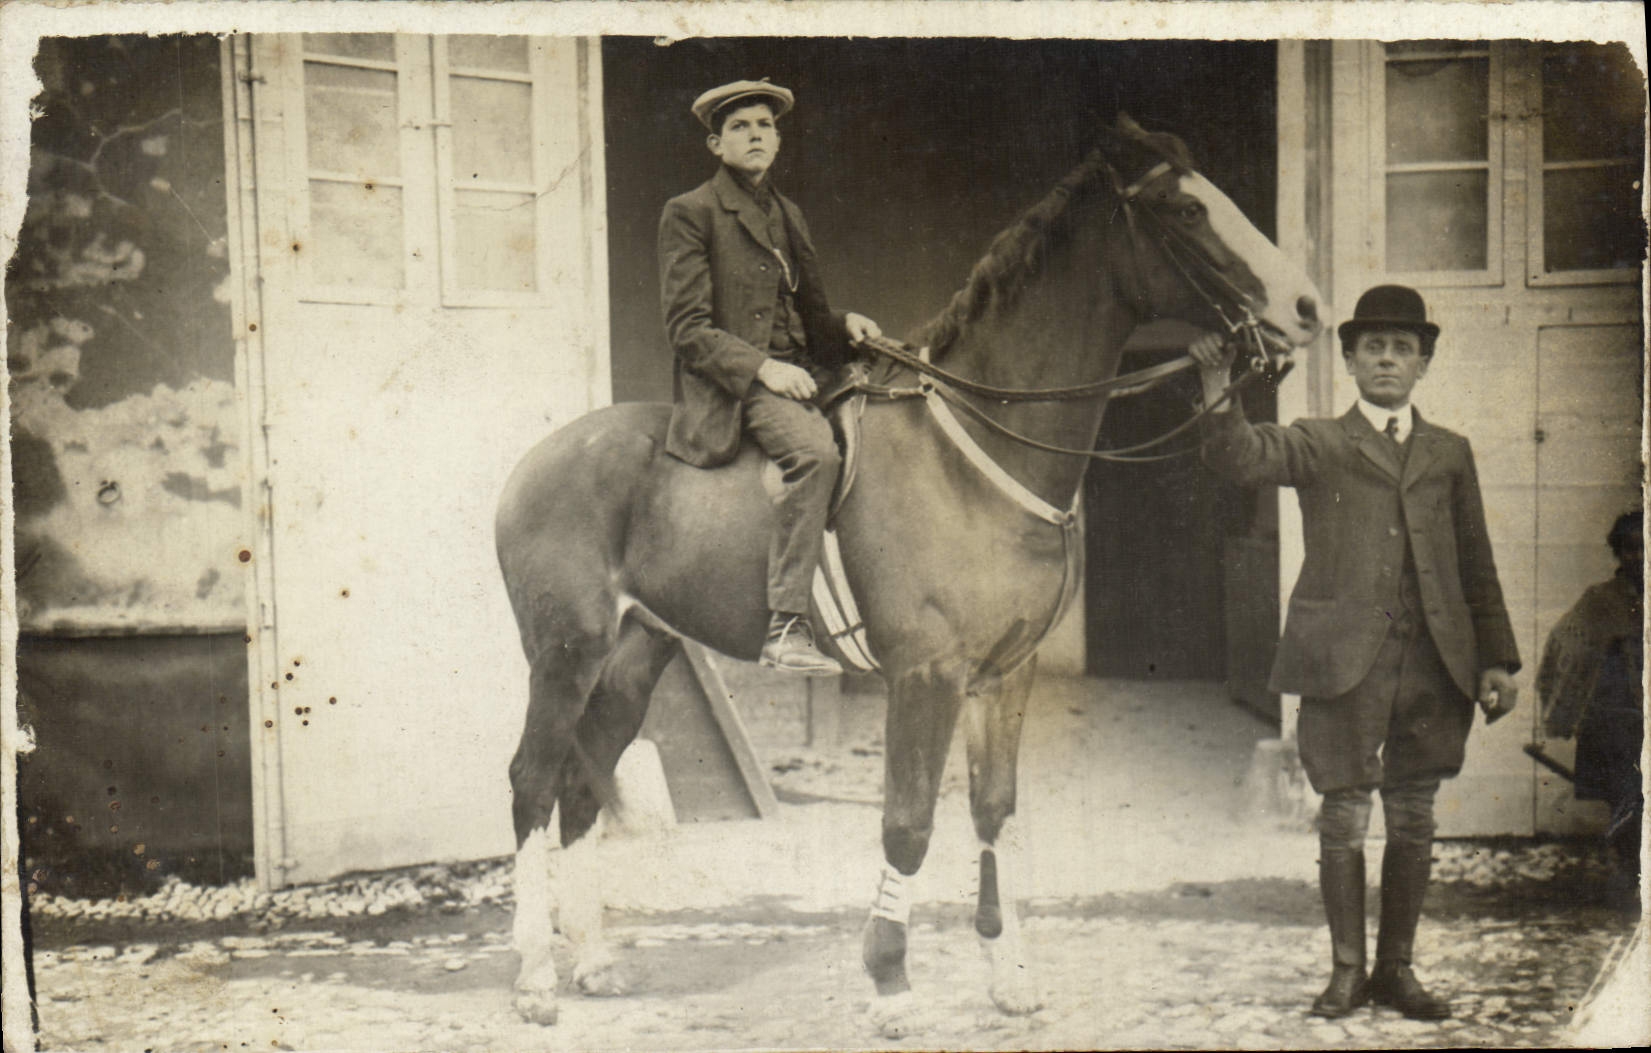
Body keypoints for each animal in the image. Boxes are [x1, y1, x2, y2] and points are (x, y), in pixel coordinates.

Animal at [495, 115, 1324, 1031]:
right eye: (1185, 209)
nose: (1306, 308)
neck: (973, 453)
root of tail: (535, 459)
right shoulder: (925, 675)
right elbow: (909, 824)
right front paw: (890, 982)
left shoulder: (1004, 673)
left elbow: (992, 811)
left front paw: (1009, 974)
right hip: (565, 653)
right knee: (532, 781)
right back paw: (535, 976)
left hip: (636, 653)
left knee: (580, 782)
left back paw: (591, 959)